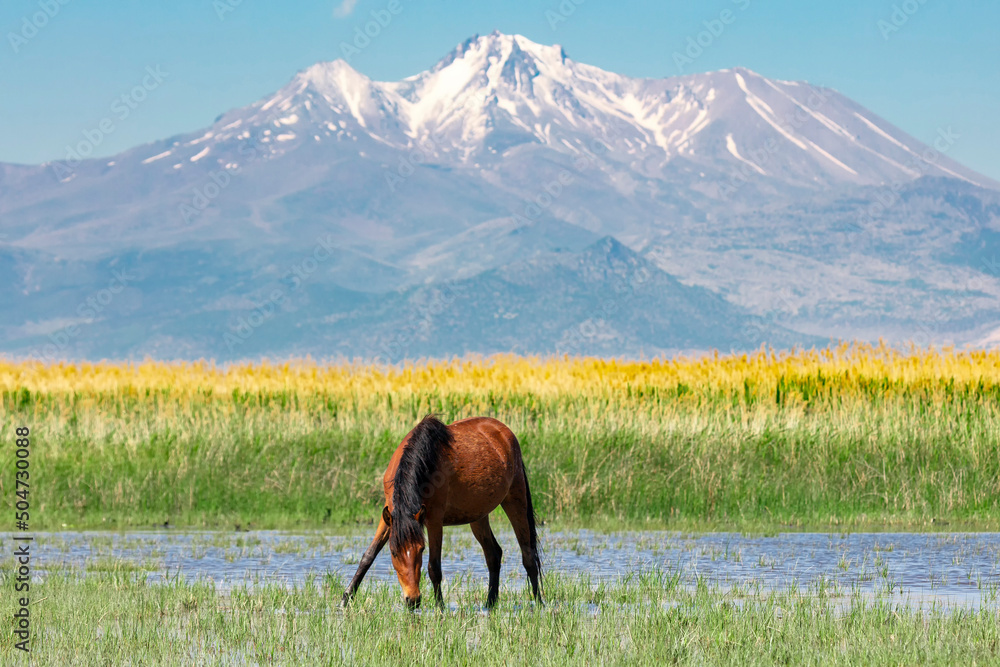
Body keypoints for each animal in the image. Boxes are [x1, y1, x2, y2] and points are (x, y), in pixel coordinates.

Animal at [342, 414, 542, 609]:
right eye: (393, 552)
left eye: (421, 549)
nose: (412, 600)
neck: (424, 461)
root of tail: (504, 431)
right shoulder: (390, 516)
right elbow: (369, 555)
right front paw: (345, 599)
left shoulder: (434, 519)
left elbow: (434, 567)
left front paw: (440, 607)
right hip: (478, 515)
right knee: (493, 554)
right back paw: (490, 603)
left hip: (515, 498)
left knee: (528, 555)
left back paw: (539, 602)